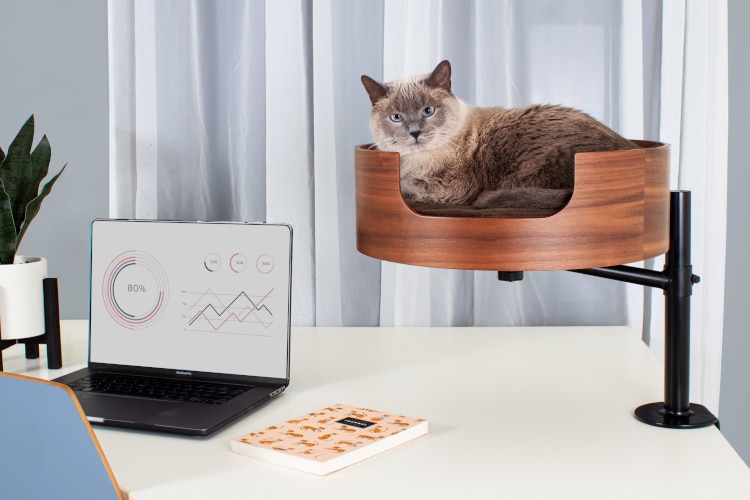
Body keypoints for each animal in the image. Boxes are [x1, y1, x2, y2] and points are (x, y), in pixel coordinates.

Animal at [362, 60, 640, 209]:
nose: (415, 132)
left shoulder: (448, 188)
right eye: (396, 117)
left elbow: (404, 184)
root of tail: (630, 148)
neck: (414, 160)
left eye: (428, 111)